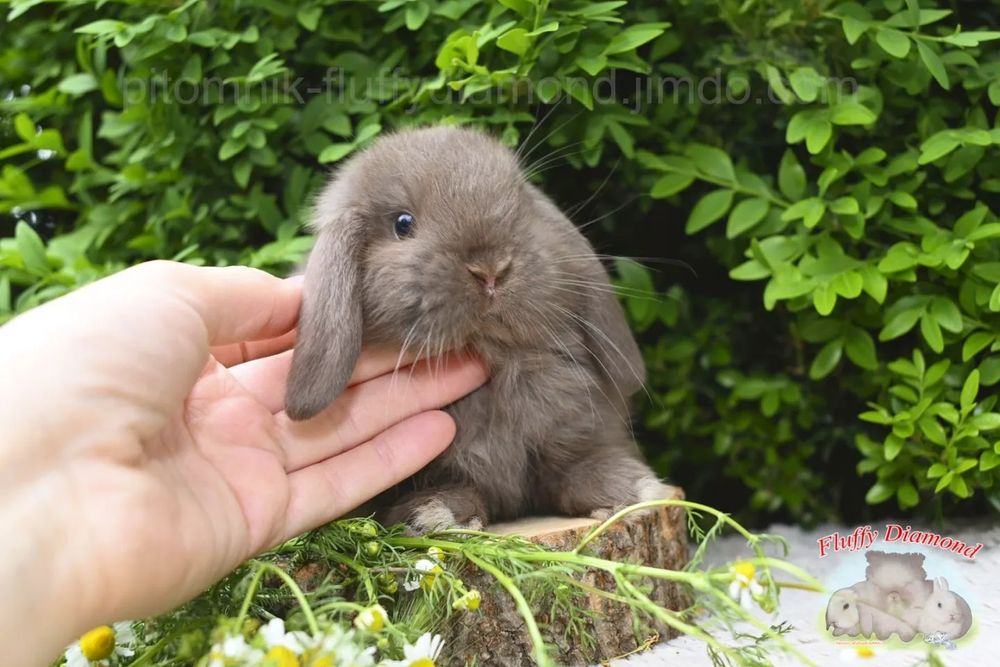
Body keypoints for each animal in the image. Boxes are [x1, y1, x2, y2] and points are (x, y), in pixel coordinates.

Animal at [284, 125, 669, 533]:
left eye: (521, 205)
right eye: (403, 224)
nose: (491, 269)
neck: (497, 360)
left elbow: (574, 470)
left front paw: (632, 490)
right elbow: (453, 489)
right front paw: (435, 514)